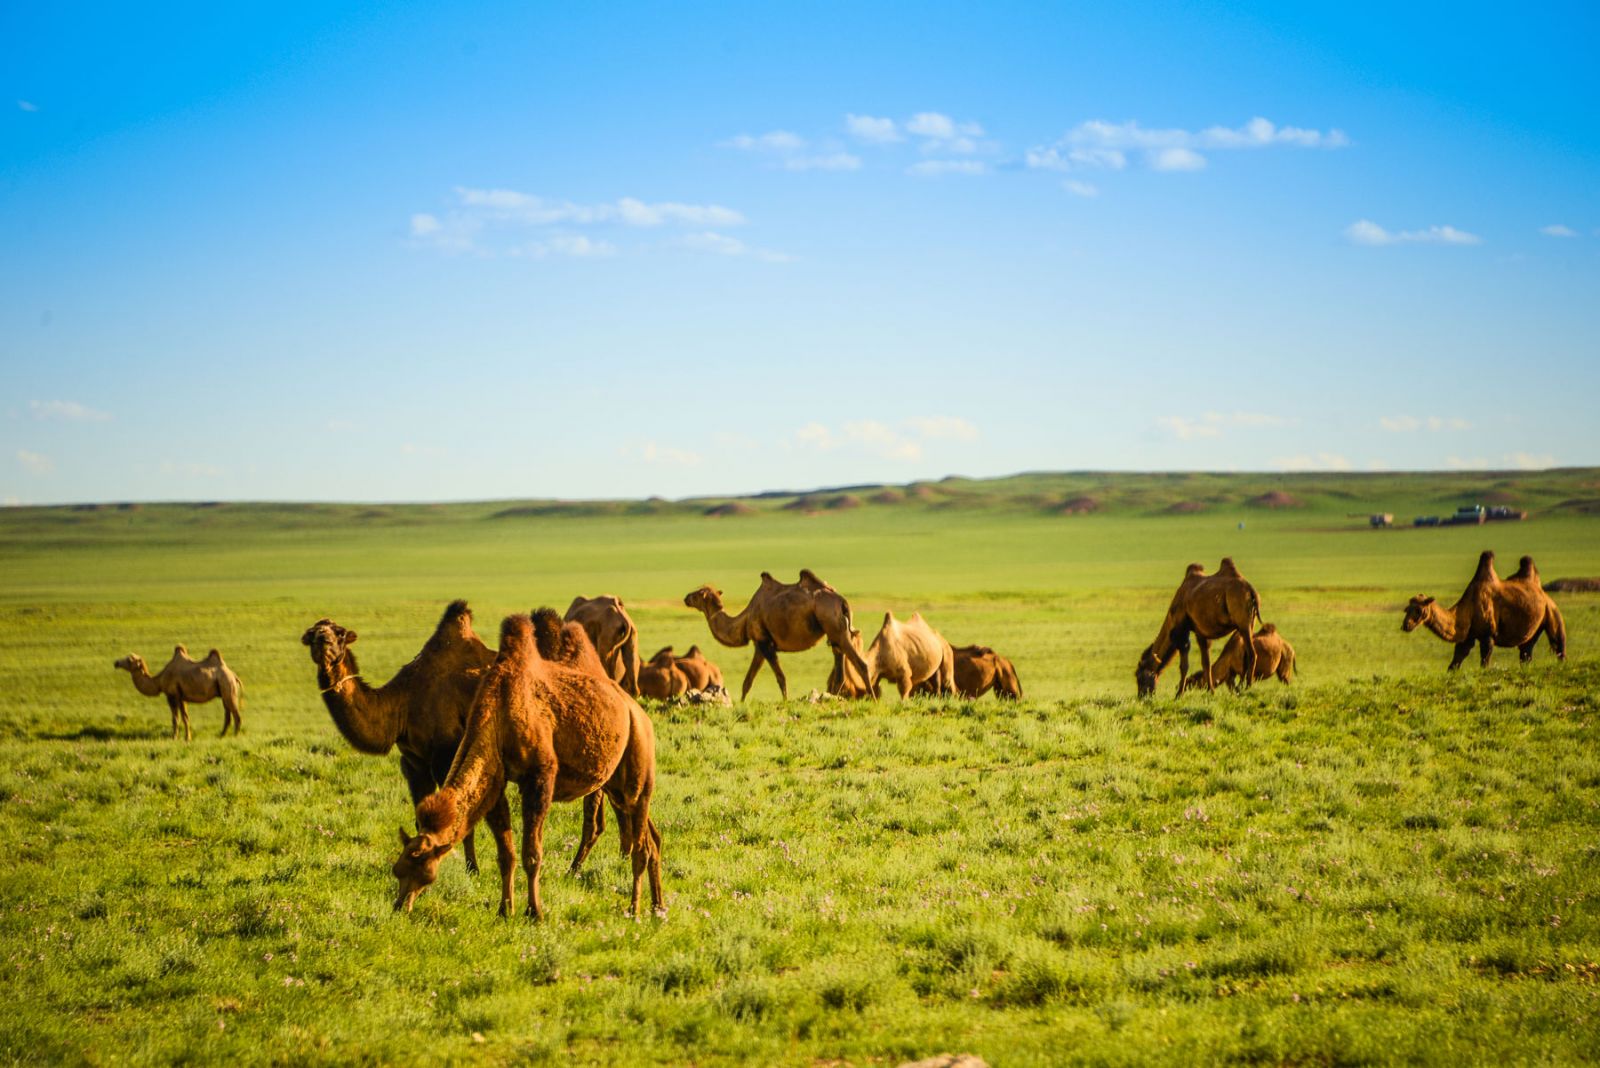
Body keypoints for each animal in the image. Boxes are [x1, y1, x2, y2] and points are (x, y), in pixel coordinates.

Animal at [112, 642, 243, 741]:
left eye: (129, 660)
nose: (116, 663)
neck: (159, 680)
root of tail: (234, 675)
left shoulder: (173, 695)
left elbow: (176, 718)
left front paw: (175, 738)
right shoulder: (182, 697)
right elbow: (185, 717)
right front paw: (187, 738)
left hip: (228, 686)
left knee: (236, 714)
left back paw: (235, 736)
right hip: (224, 692)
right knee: (228, 714)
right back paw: (221, 735)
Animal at [393, 607, 662, 920]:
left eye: (425, 871)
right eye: (396, 869)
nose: (399, 906)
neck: (497, 713)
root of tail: (637, 710)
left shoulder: (539, 775)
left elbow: (531, 853)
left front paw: (534, 912)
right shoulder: (496, 777)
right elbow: (506, 853)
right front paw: (505, 909)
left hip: (638, 763)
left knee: (641, 844)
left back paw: (635, 908)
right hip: (615, 785)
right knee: (650, 838)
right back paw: (658, 906)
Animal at [678, 565, 870, 700]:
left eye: (698, 593)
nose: (686, 597)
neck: (745, 618)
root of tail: (842, 601)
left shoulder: (765, 643)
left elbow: (780, 677)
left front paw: (785, 702)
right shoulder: (759, 644)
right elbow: (747, 681)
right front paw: (741, 703)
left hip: (835, 627)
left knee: (861, 664)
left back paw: (873, 699)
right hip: (834, 631)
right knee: (839, 666)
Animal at [1139, 559, 1260, 700]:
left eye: (1139, 677)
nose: (1141, 696)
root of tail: (1251, 591)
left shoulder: (1182, 630)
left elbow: (1184, 665)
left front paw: (1178, 694)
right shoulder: (1200, 632)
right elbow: (1206, 662)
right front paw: (1210, 691)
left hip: (1243, 624)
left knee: (1252, 653)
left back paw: (1247, 686)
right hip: (1250, 624)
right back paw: (1242, 686)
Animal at [1401, 549, 1561, 668]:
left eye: (1418, 610)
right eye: (1406, 609)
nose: (1405, 625)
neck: (1467, 609)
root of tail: (1543, 593)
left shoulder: (1487, 635)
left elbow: (1484, 662)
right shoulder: (1468, 636)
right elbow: (1455, 661)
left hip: (1551, 611)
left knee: (1557, 643)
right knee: (1526, 652)